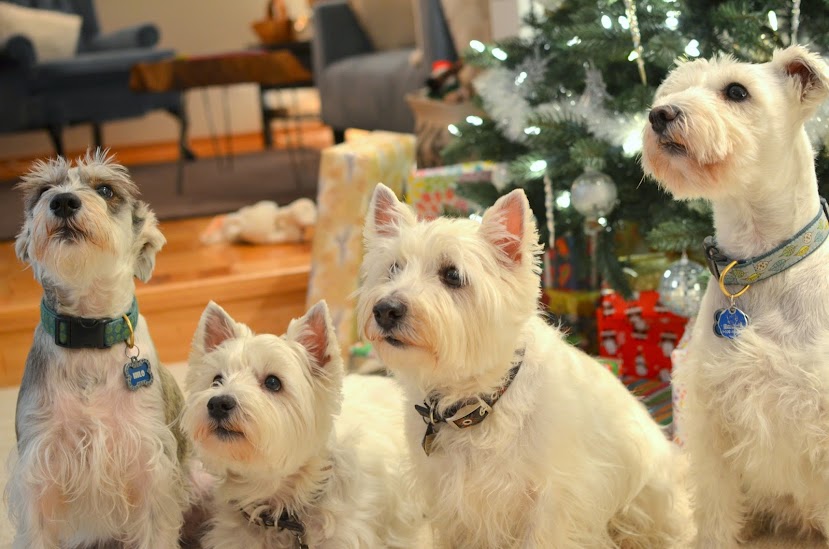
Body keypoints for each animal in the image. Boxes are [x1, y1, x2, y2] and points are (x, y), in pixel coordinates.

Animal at [6, 150, 192, 548]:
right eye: (44, 189)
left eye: (106, 189)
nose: (63, 201)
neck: (89, 336)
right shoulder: (39, 477)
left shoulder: (151, 472)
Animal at [356, 183, 691, 548]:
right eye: (393, 268)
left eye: (452, 275)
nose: (386, 310)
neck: (477, 402)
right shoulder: (447, 500)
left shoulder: (555, 500)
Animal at [642, 46, 829, 547]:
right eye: (674, 89)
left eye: (737, 91)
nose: (659, 114)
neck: (757, 266)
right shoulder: (713, 421)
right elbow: (715, 510)